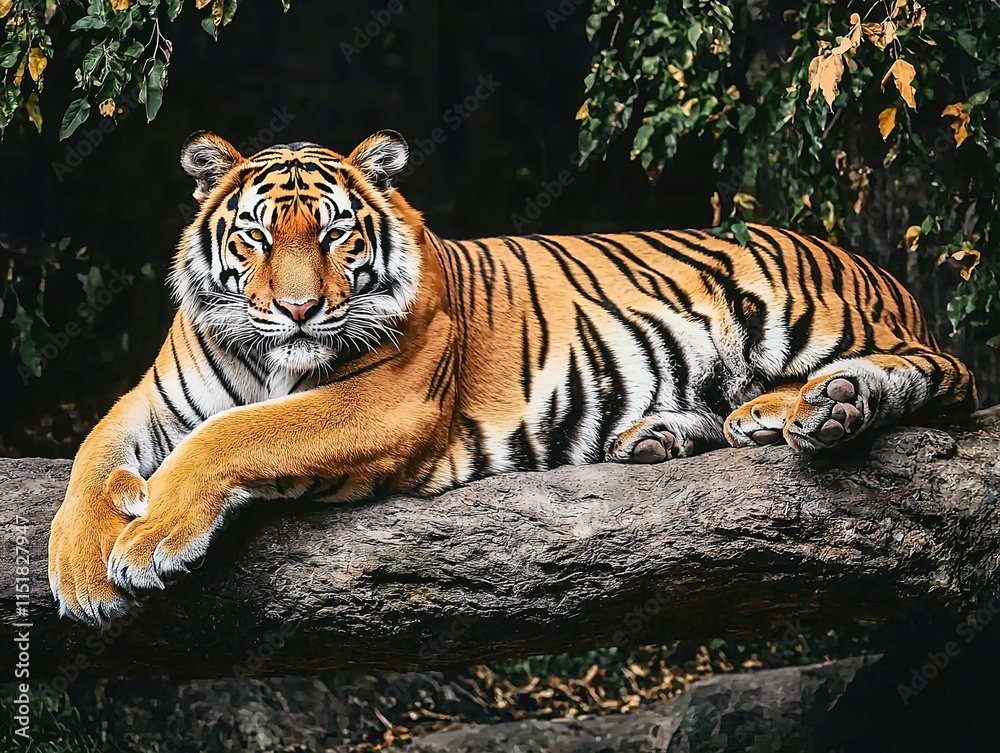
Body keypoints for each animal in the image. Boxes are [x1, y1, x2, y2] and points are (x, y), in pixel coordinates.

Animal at [48, 129, 977, 626]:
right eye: (257, 236)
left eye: (337, 235)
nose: (303, 310)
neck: (273, 354)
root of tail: (871, 266)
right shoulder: (151, 398)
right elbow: (90, 460)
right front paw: (80, 571)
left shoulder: (386, 397)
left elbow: (234, 434)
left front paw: (149, 540)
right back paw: (680, 428)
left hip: (802, 306)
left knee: (944, 369)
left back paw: (828, 404)